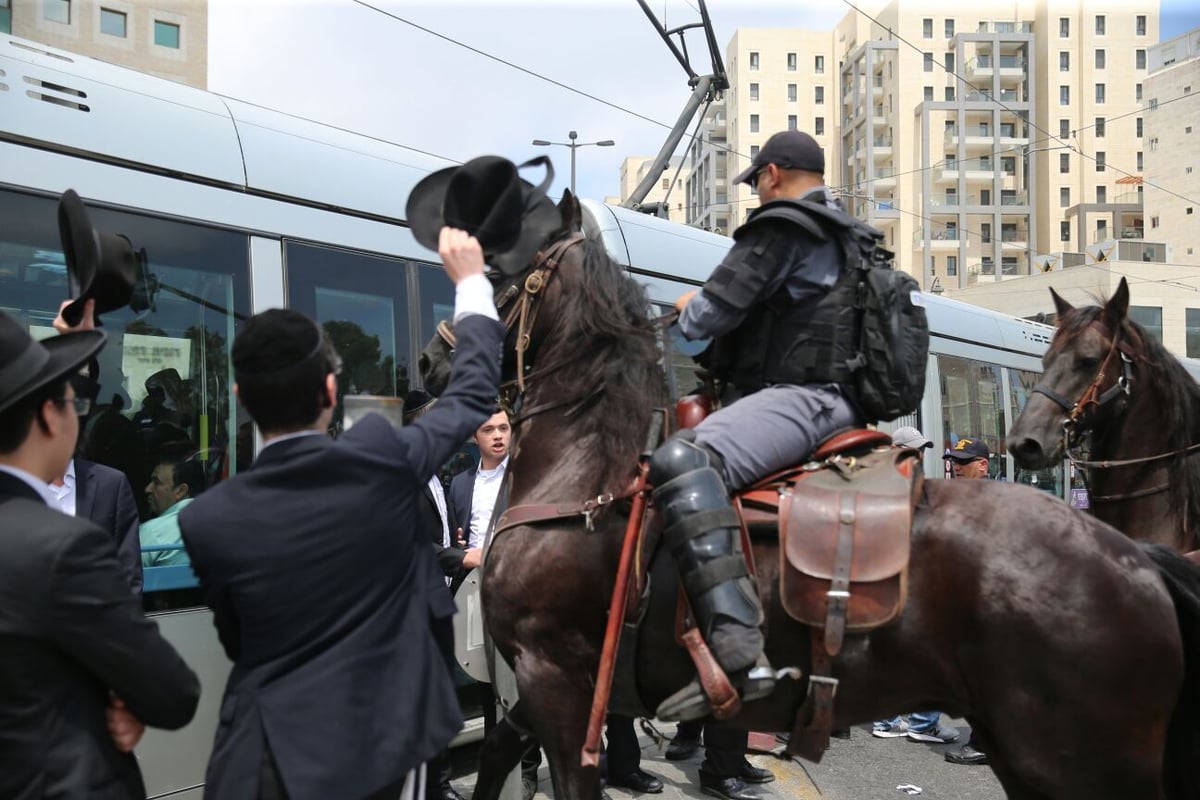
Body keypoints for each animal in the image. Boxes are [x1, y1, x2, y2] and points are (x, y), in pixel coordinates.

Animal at [420, 196, 1200, 796]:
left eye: (492, 270)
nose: (431, 360)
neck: (585, 472)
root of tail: (1136, 560)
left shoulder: (557, 679)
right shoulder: (542, 688)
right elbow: (498, 749)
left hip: (1078, 763)